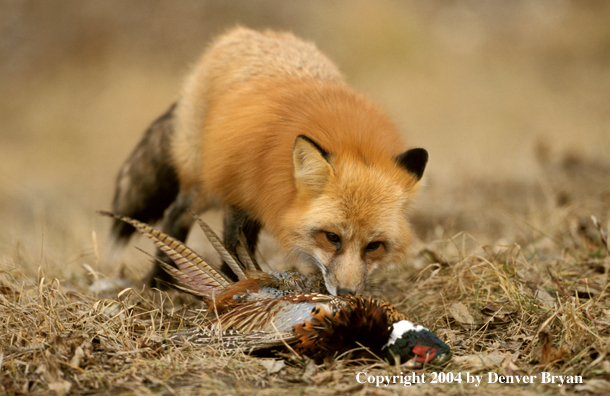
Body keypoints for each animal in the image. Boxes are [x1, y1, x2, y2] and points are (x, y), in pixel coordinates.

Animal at [109, 27, 426, 294]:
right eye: (332, 237)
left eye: (374, 246)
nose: (347, 293)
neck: (347, 138)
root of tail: (249, 33)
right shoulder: (238, 194)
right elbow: (234, 247)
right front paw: (240, 285)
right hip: (204, 185)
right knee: (175, 216)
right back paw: (158, 281)